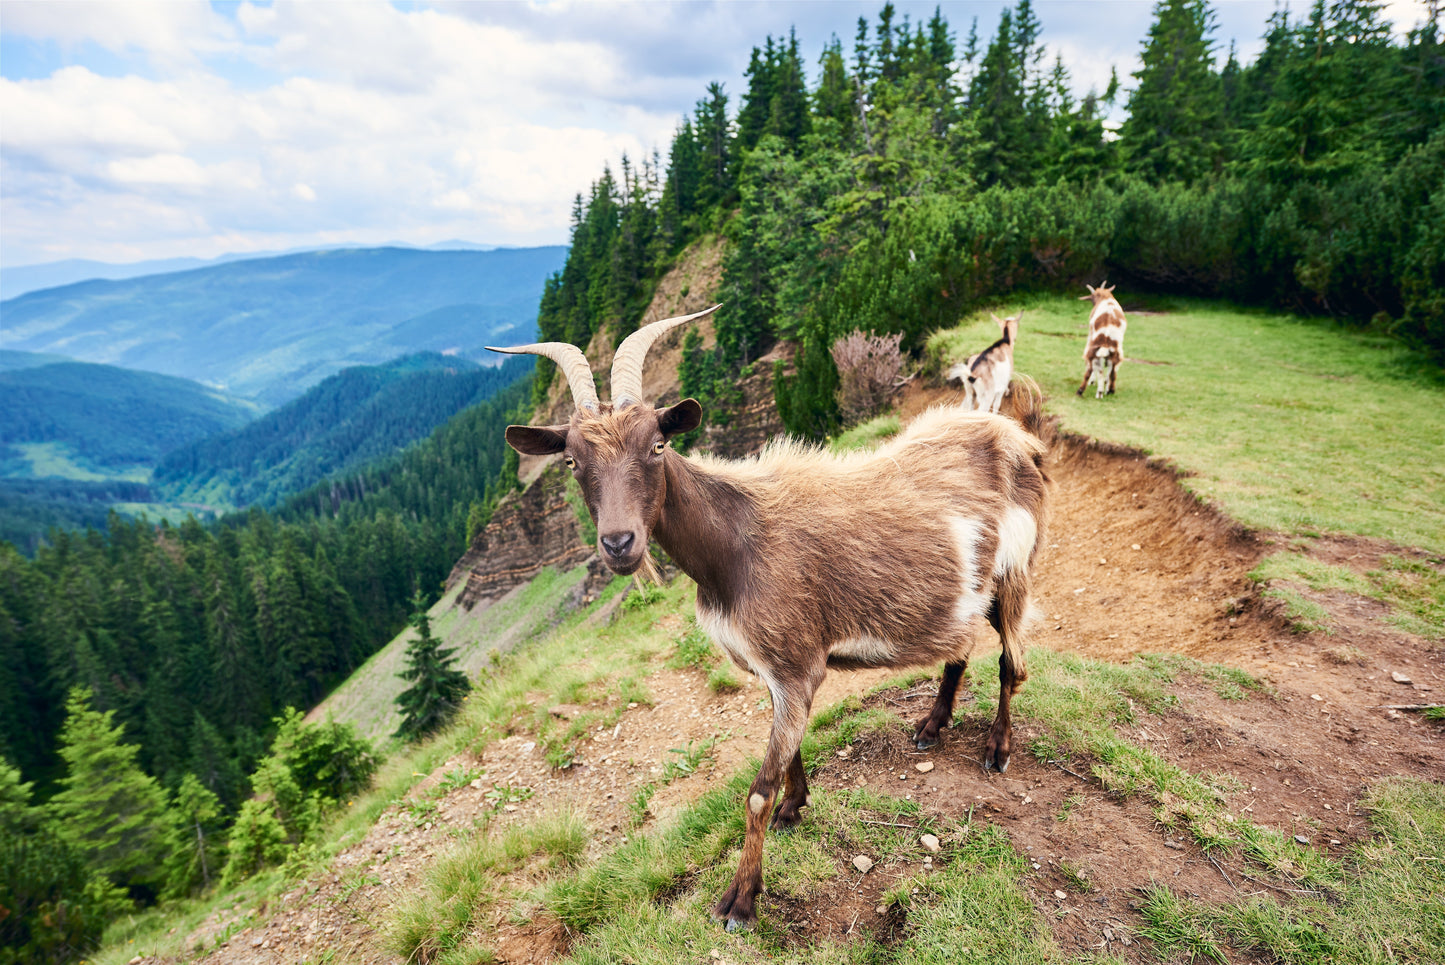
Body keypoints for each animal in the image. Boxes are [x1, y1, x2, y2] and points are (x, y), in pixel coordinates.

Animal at [489, 306, 1050, 933]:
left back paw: (998, 748)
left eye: (657, 445)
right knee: (960, 645)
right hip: (967, 591)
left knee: (1011, 663)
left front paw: (741, 899)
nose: (619, 544)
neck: (734, 546)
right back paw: (932, 725)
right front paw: (794, 807)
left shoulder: (796, 665)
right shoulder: (775, 668)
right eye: (571, 460)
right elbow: (789, 753)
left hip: (1014, 570)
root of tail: (1020, 434)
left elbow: (756, 790)